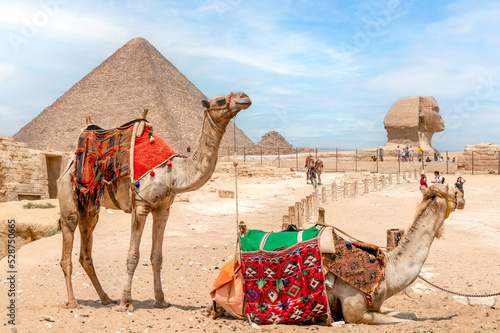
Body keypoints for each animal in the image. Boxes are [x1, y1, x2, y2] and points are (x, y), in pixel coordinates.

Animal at [58, 92, 252, 310]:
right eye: (219, 101)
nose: (244, 97)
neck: (173, 173)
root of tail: (70, 161)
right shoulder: (140, 206)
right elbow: (133, 256)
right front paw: (126, 302)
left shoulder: (163, 208)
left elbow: (157, 257)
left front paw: (161, 300)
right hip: (68, 196)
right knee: (68, 241)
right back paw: (73, 302)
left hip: (90, 208)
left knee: (86, 251)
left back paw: (106, 298)